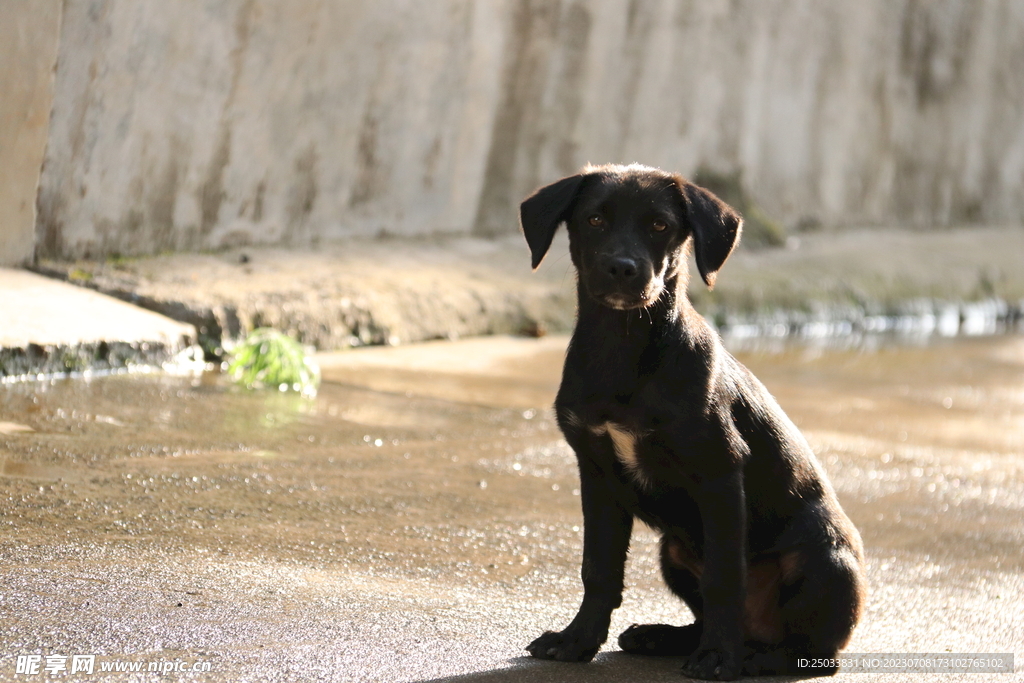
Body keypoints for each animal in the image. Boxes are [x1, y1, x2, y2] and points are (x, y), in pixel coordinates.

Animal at [520, 163, 864, 679]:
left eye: (660, 225)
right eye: (595, 220)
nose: (622, 268)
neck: (622, 350)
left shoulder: (719, 474)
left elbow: (725, 577)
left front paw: (720, 658)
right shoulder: (596, 473)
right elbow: (598, 569)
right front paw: (577, 640)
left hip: (823, 560)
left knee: (813, 655)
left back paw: (750, 656)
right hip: (674, 551)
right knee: (704, 618)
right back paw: (664, 636)